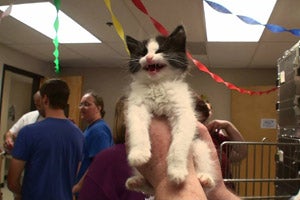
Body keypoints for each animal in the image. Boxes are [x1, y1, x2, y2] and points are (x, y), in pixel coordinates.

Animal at [124, 25, 216, 192]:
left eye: (161, 50)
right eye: (142, 53)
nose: (149, 58)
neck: (157, 84)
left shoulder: (185, 113)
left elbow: (179, 142)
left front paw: (177, 171)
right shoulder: (136, 107)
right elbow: (137, 128)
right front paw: (139, 153)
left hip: (200, 145)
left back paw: (206, 179)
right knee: (150, 187)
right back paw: (137, 181)